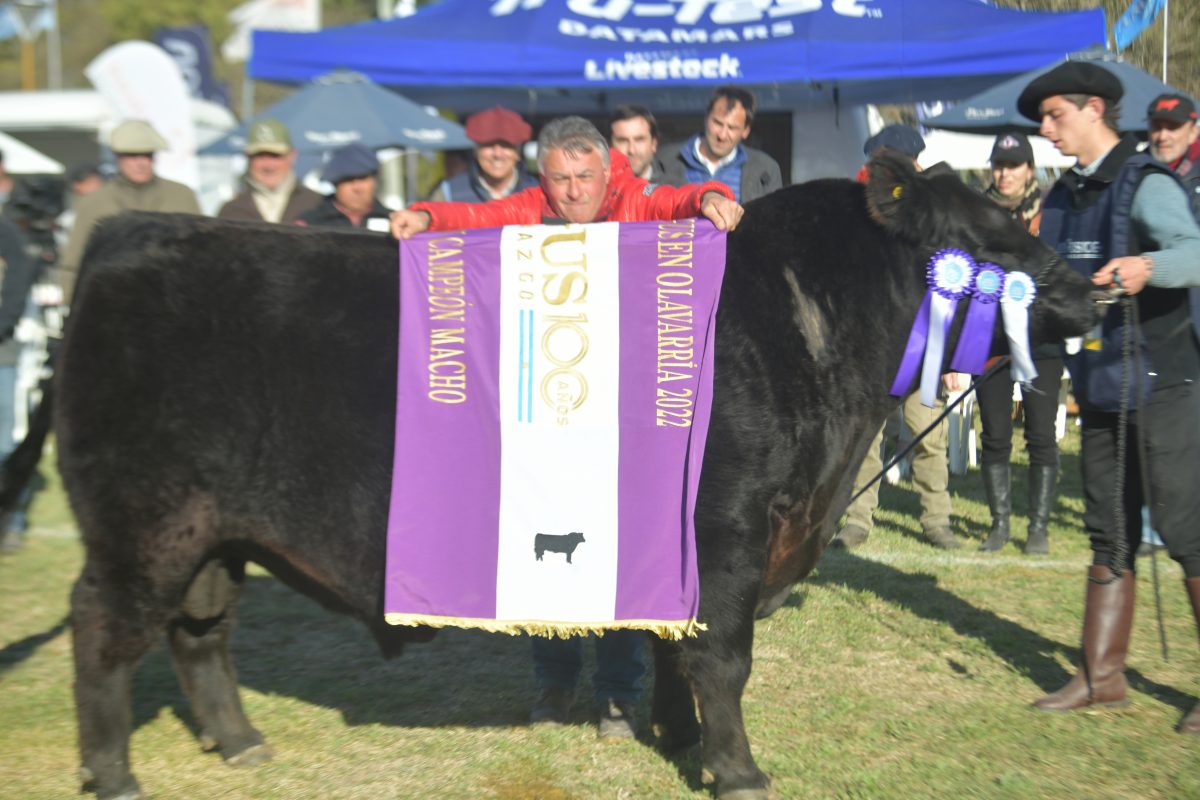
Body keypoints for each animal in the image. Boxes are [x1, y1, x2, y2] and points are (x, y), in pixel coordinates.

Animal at [25, 153, 1099, 796]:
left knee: (201, 629)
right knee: (103, 632)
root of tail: (131, 235)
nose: (1088, 287)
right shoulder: (729, 534)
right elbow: (723, 656)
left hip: (214, 530)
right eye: (987, 241)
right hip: (142, 524)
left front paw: (677, 739)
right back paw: (113, 773)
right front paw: (738, 769)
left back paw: (242, 741)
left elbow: (673, 648)